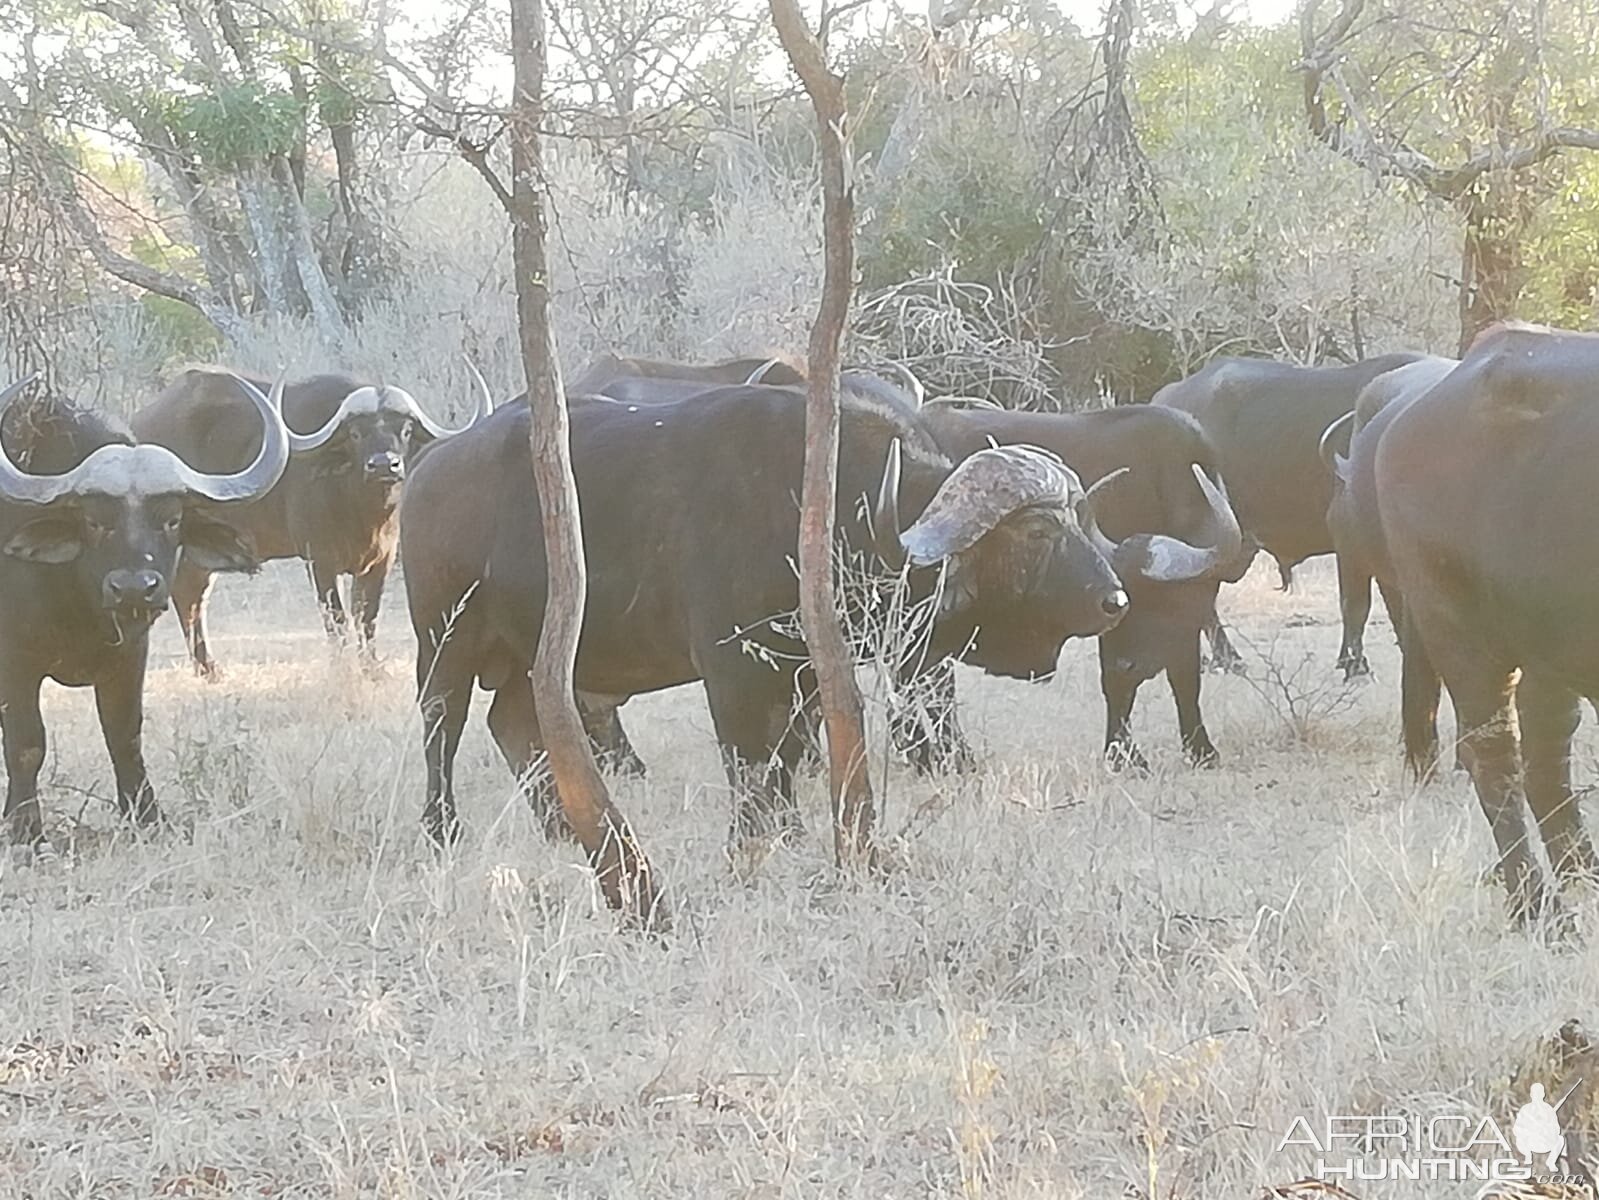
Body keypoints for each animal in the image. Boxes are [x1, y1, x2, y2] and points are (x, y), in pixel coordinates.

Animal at [0, 376, 284, 844]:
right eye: (94, 521)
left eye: (172, 519)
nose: (134, 588)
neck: (80, 607)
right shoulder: (15, 664)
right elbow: (26, 744)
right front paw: (26, 830)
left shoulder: (131, 655)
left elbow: (125, 735)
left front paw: (148, 817)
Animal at [130, 364, 489, 678]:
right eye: (356, 433)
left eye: (405, 430)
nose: (384, 465)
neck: (362, 511)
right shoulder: (319, 560)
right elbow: (337, 619)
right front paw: (342, 669)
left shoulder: (381, 559)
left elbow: (367, 616)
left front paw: (372, 670)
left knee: (190, 597)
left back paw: (209, 670)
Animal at [398, 377, 1125, 844]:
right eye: (1036, 532)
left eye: (1078, 519)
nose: (1114, 600)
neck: (825, 509)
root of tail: (430, 463)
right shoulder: (731, 671)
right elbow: (748, 761)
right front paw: (754, 836)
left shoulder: (803, 676)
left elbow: (787, 760)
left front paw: (791, 832)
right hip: (446, 639)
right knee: (443, 724)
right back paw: (441, 828)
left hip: (529, 658)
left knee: (514, 722)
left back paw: (560, 827)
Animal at [1375, 324, 1599, 928]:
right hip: (1458, 632)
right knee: (1494, 756)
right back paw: (1537, 907)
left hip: (1549, 645)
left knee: (1545, 754)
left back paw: (1581, 876)